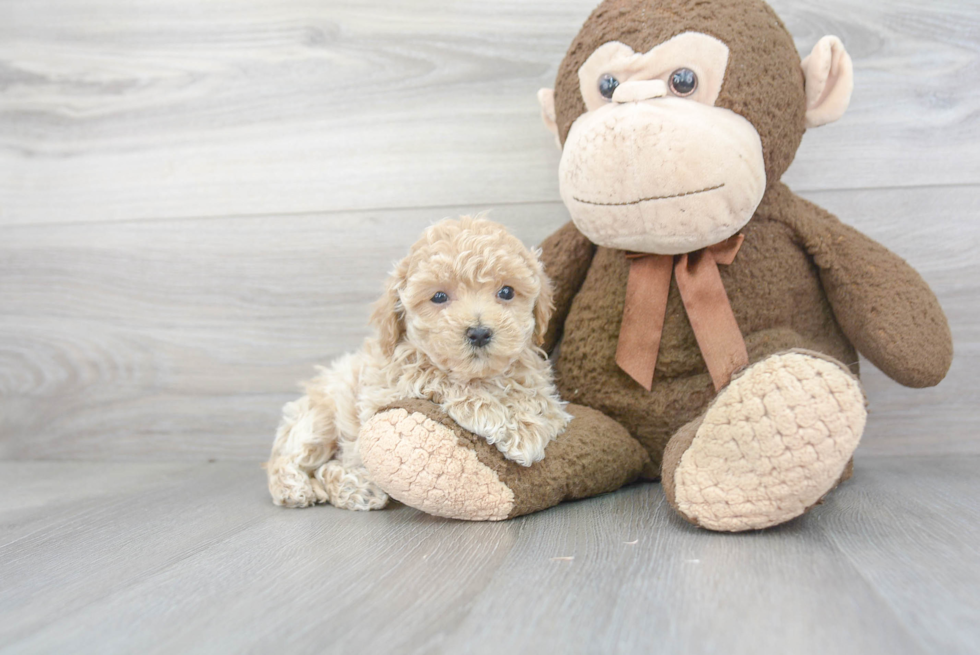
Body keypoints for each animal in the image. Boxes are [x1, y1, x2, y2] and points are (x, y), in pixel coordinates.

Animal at [268, 218, 576, 510]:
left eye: (507, 292)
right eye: (439, 296)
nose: (479, 333)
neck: (480, 375)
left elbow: (542, 402)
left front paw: (525, 422)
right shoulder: (384, 387)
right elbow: (433, 375)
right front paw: (503, 420)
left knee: (326, 468)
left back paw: (357, 489)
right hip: (318, 420)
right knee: (287, 461)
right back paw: (300, 487)